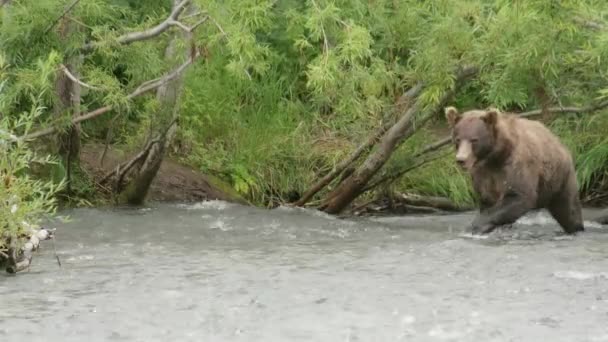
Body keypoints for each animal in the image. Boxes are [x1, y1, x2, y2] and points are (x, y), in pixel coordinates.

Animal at [446, 107, 584, 235]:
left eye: (474, 140)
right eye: (458, 139)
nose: (461, 159)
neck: (495, 157)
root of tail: (559, 142)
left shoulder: (516, 166)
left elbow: (519, 196)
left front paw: (476, 226)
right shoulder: (483, 174)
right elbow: (487, 199)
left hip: (560, 178)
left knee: (569, 210)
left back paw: (576, 228)